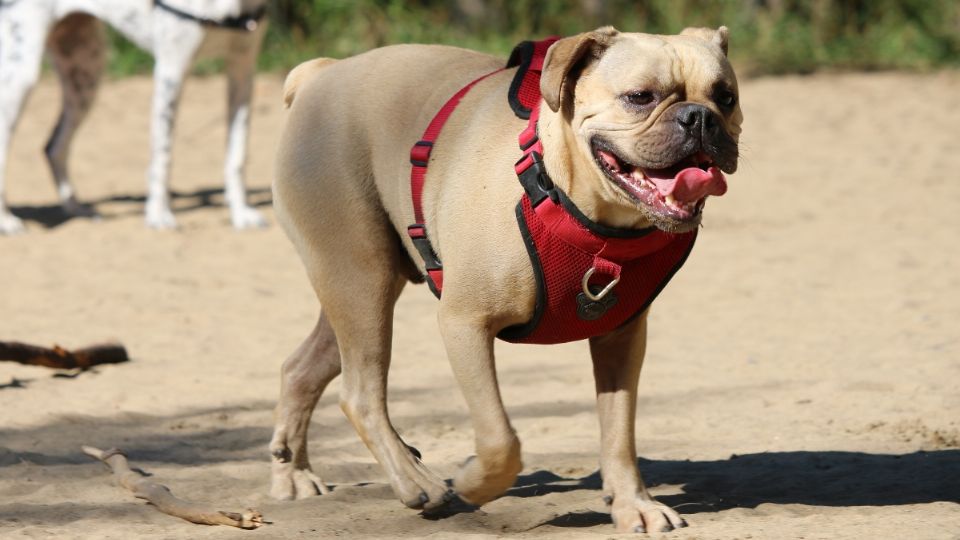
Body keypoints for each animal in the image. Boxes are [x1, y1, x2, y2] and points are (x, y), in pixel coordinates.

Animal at [0, 0, 270, 233]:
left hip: (86, 75)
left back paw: (77, 209)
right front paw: (158, 215)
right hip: (21, 76)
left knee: (54, 146)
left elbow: (236, 155)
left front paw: (240, 214)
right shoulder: (171, 72)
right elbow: (163, 155)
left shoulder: (243, 71)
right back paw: (7, 221)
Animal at [270, 27, 744, 532]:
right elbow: (501, 437)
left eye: (726, 98)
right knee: (360, 394)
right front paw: (474, 483)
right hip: (362, 282)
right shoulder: (465, 324)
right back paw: (418, 483)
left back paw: (293, 476)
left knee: (302, 369)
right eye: (639, 97)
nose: (699, 117)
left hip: (354, 288)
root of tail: (321, 74)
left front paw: (633, 503)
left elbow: (619, 432)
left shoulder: (621, 339)